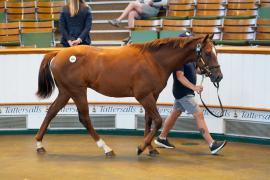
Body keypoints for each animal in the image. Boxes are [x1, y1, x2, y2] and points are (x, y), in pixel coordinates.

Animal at [35, 34, 221, 157]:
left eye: (215, 52)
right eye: (207, 53)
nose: (218, 76)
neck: (155, 61)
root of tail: (58, 54)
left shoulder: (152, 95)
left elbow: (149, 121)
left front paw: (150, 149)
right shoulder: (143, 96)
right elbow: (158, 121)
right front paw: (141, 147)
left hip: (66, 92)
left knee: (51, 112)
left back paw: (39, 144)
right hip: (77, 91)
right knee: (84, 118)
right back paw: (106, 148)